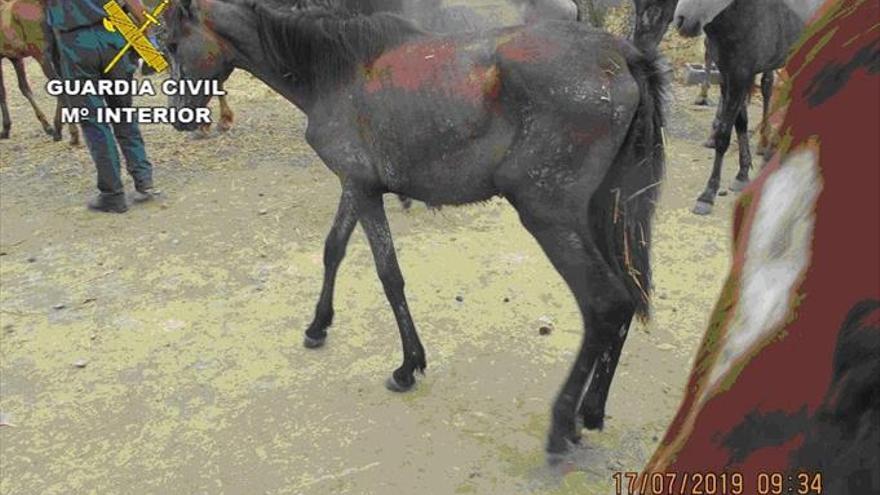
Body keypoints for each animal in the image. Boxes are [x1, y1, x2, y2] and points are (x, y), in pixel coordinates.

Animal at [0, 0, 79, 144]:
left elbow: (2, 92)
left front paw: (5, 129)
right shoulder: (15, 58)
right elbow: (24, 88)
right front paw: (47, 126)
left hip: (42, 56)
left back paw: (72, 134)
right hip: (57, 54)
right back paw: (58, 129)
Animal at [163, 0, 668, 460]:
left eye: (171, 44)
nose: (177, 117)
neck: (334, 72)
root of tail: (621, 55)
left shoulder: (363, 191)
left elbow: (389, 275)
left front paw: (408, 366)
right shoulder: (356, 186)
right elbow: (333, 249)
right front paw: (318, 325)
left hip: (549, 218)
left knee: (604, 304)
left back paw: (562, 422)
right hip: (600, 216)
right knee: (626, 298)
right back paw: (592, 412)